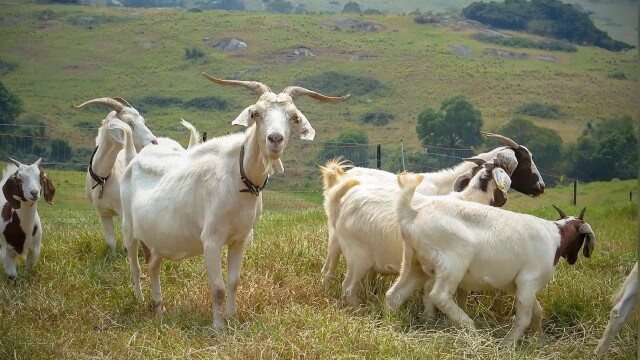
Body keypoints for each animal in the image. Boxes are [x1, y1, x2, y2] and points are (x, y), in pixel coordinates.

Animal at [120, 73, 350, 330]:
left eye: (293, 117)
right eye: (256, 113)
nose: (275, 139)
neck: (238, 179)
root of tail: (135, 159)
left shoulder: (240, 239)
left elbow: (233, 282)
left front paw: (231, 318)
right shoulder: (211, 240)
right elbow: (218, 288)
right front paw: (218, 327)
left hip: (157, 238)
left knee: (153, 265)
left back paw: (159, 307)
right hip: (129, 228)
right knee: (135, 266)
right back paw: (140, 300)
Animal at [322, 156, 512, 308]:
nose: (504, 199)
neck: (470, 198)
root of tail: (342, 199)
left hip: (337, 243)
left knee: (328, 271)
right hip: (358, 257)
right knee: (348, 287)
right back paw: (357, 309)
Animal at [390, 173, 596, 344]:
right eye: (580, 239)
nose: (573, 260)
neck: (556, 237)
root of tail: (412, 213)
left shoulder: (519, 286)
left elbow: (537, 311)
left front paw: (537, 339)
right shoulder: (528, 281)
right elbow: (524, 318)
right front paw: (508, 344)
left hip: (414, 264)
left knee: (394, 295)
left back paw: (391, 322)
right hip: (453, 263)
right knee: (439, 295)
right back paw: (471, 329)